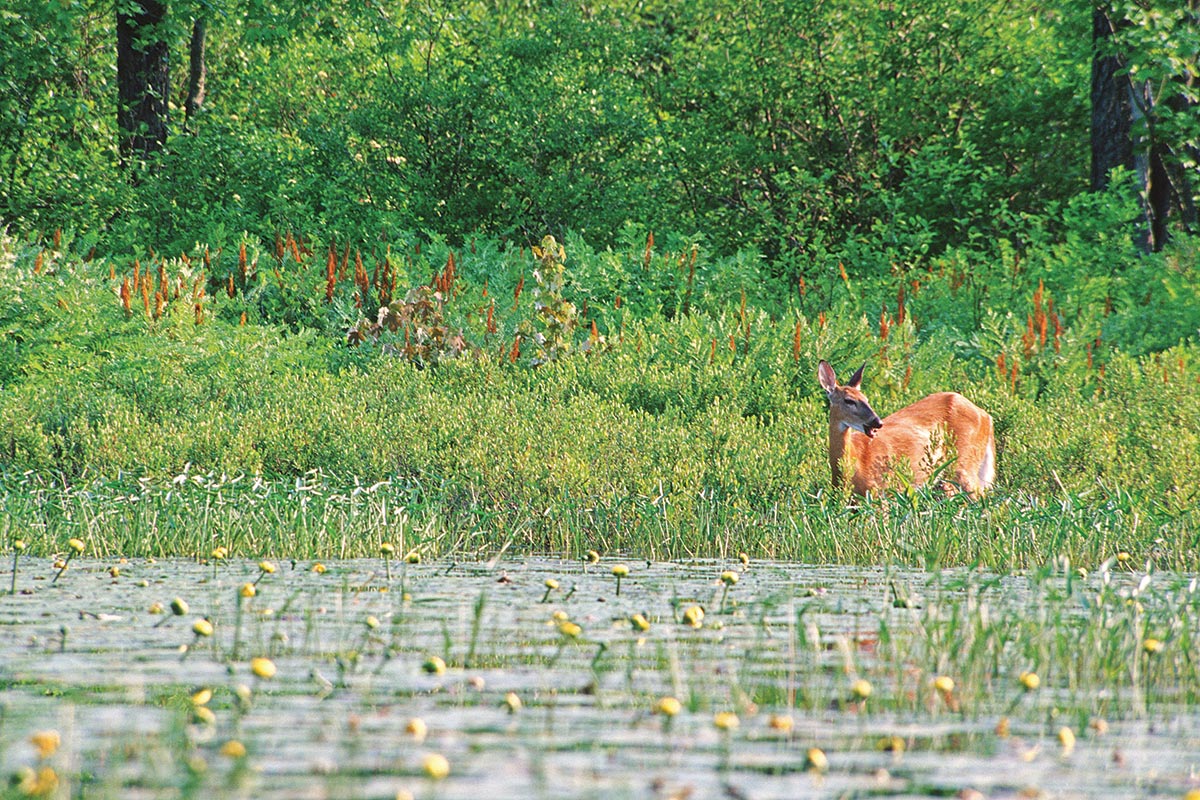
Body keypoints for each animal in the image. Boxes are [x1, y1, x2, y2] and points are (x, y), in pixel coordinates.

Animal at [816, 362, 993, 501]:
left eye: (866, 399)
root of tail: (986, 416)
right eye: (849, 401)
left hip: (964, 463)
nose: (877, 422)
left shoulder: (881, 492)